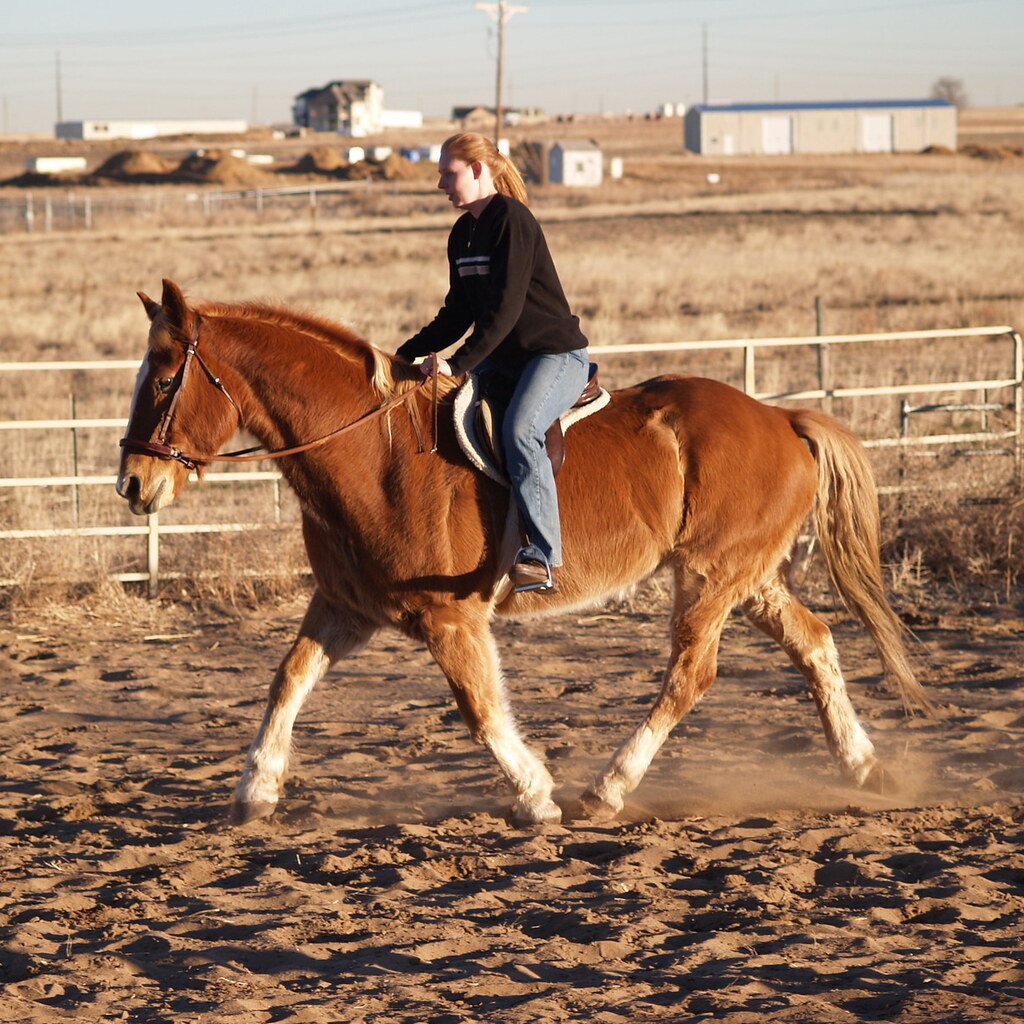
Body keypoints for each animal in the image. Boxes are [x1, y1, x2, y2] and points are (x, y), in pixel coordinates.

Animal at [117, 279, 932, 827]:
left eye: (164, 377)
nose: (132, 483)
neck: (373, 451)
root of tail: (781, 418)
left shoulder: (449, 618)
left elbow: (480, 709)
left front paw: (536, 796)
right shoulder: (348, 607)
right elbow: (286, 681)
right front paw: (254, 791)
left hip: (710, 578)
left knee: (690, 677)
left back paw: (606, 789)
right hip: (748, 578)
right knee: (815, 643)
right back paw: (864, 766)